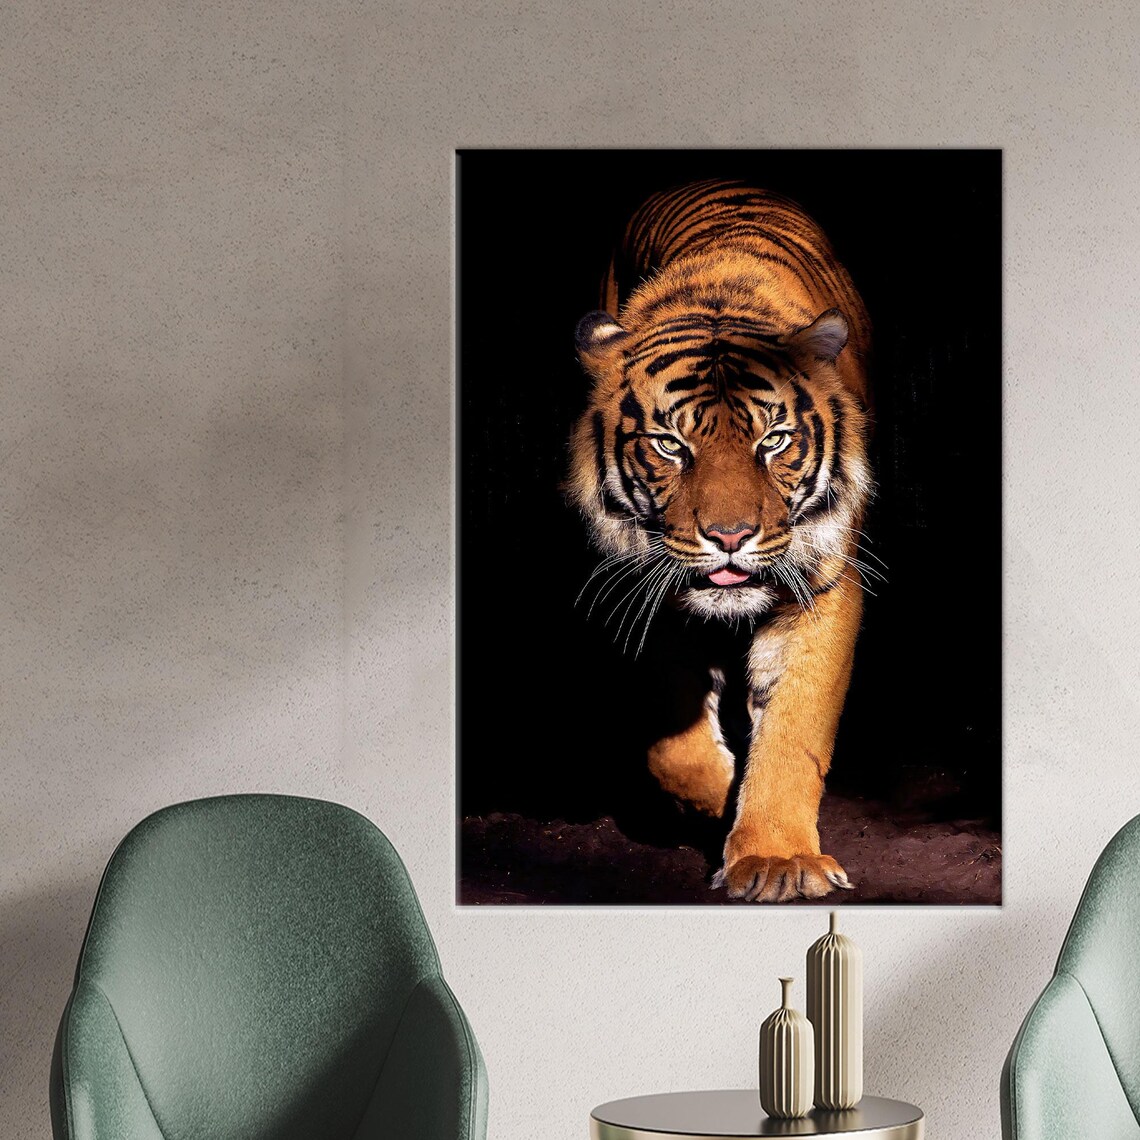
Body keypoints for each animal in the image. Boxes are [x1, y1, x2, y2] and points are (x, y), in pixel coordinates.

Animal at [566, 179, 874, 903]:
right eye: (670, 446)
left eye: (775, 441)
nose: (730, 536)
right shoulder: (645, 587)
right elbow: (672, 742)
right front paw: (718, 800)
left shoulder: (822, 586)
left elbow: (792, 730)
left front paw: (777, 858)